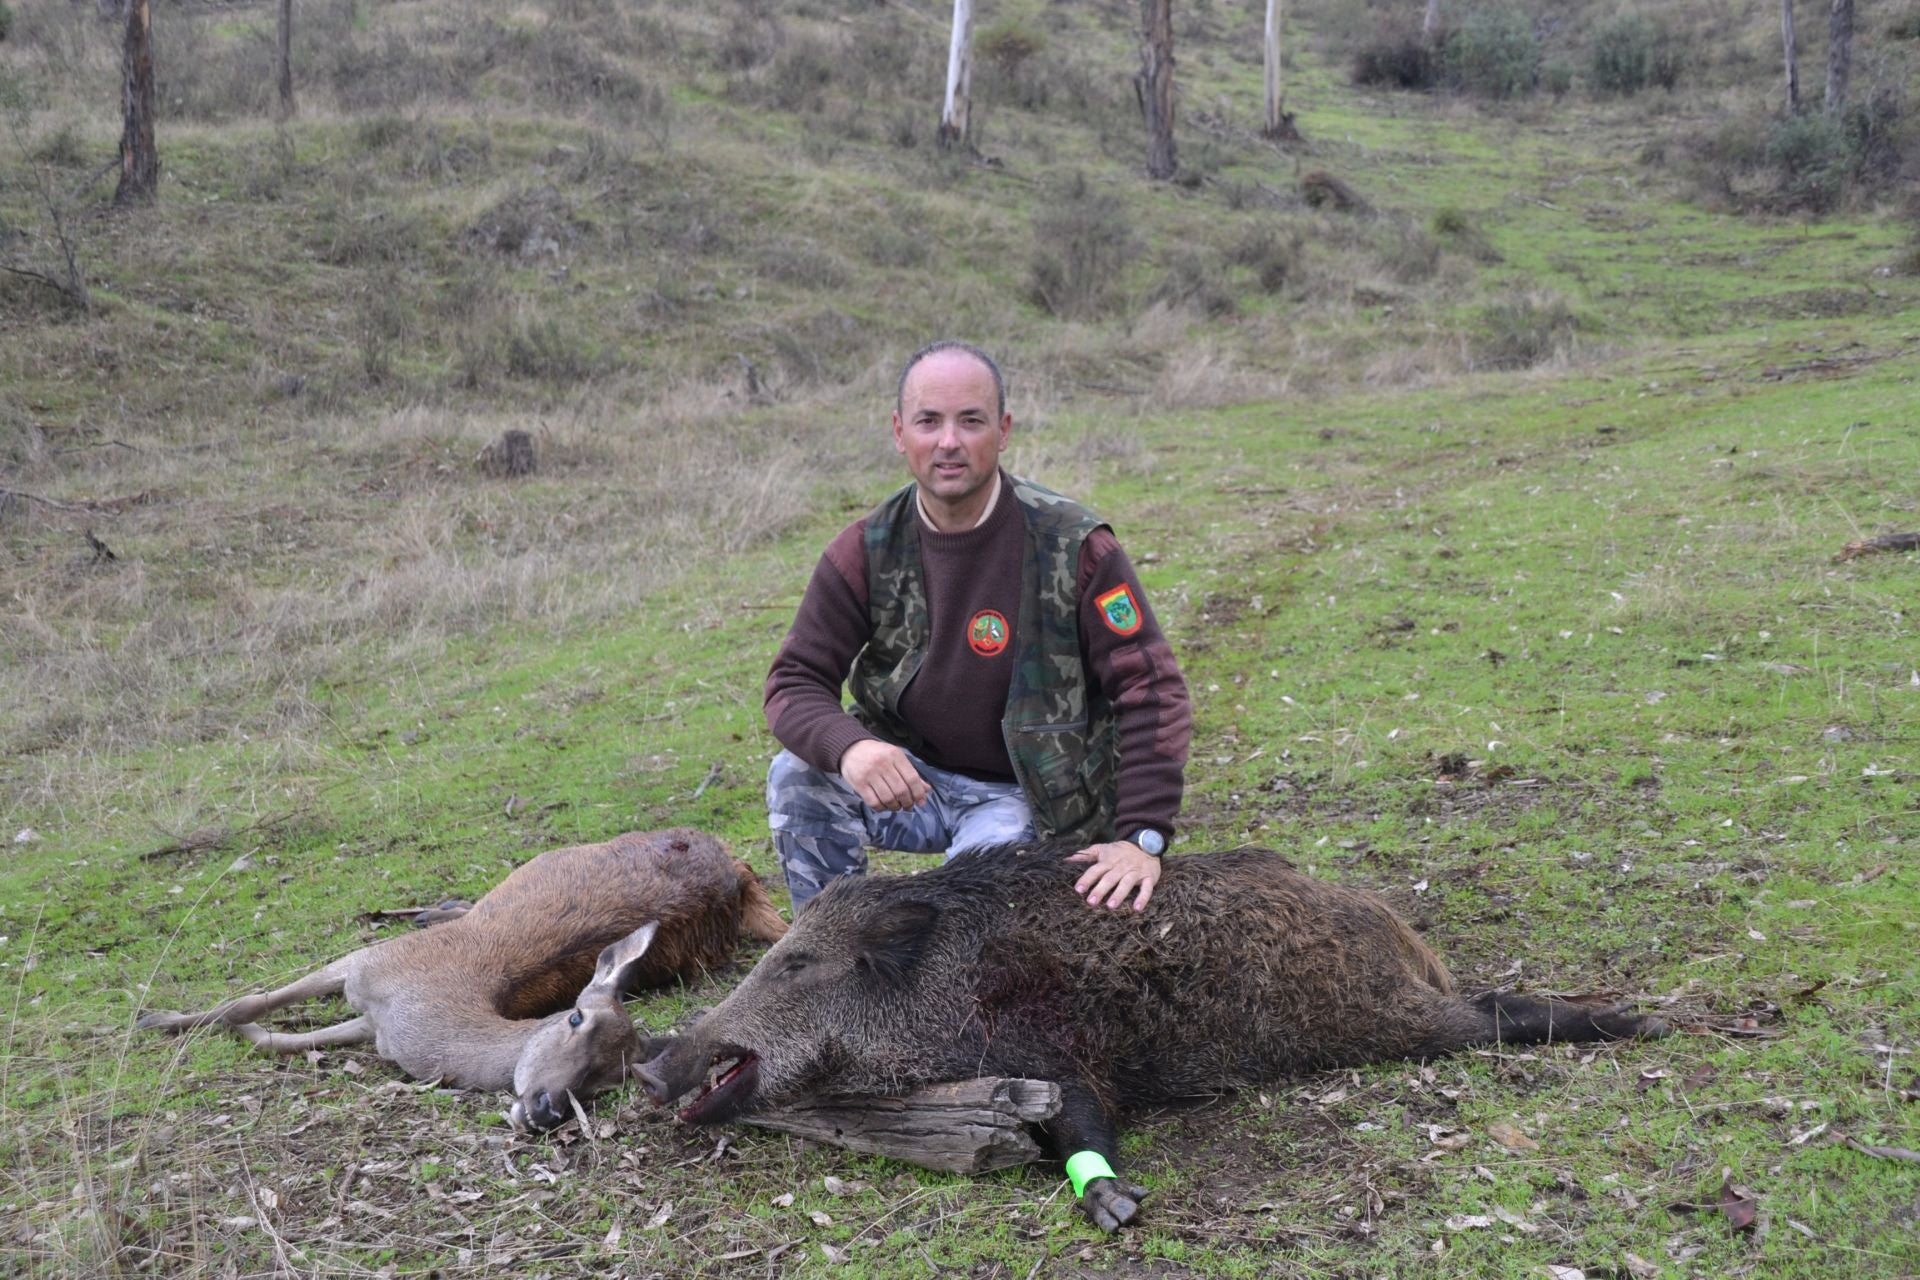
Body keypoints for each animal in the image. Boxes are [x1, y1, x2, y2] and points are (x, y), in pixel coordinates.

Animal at [135, 825, 783, 1128]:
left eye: (613, 1079)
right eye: (574, 1017)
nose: (546, 1108)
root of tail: (737, 873)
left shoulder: (372, 1021)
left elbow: (282, 1037)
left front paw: (232, 1035)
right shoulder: (361, 965)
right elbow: (247, 1003)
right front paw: (154, 1018)